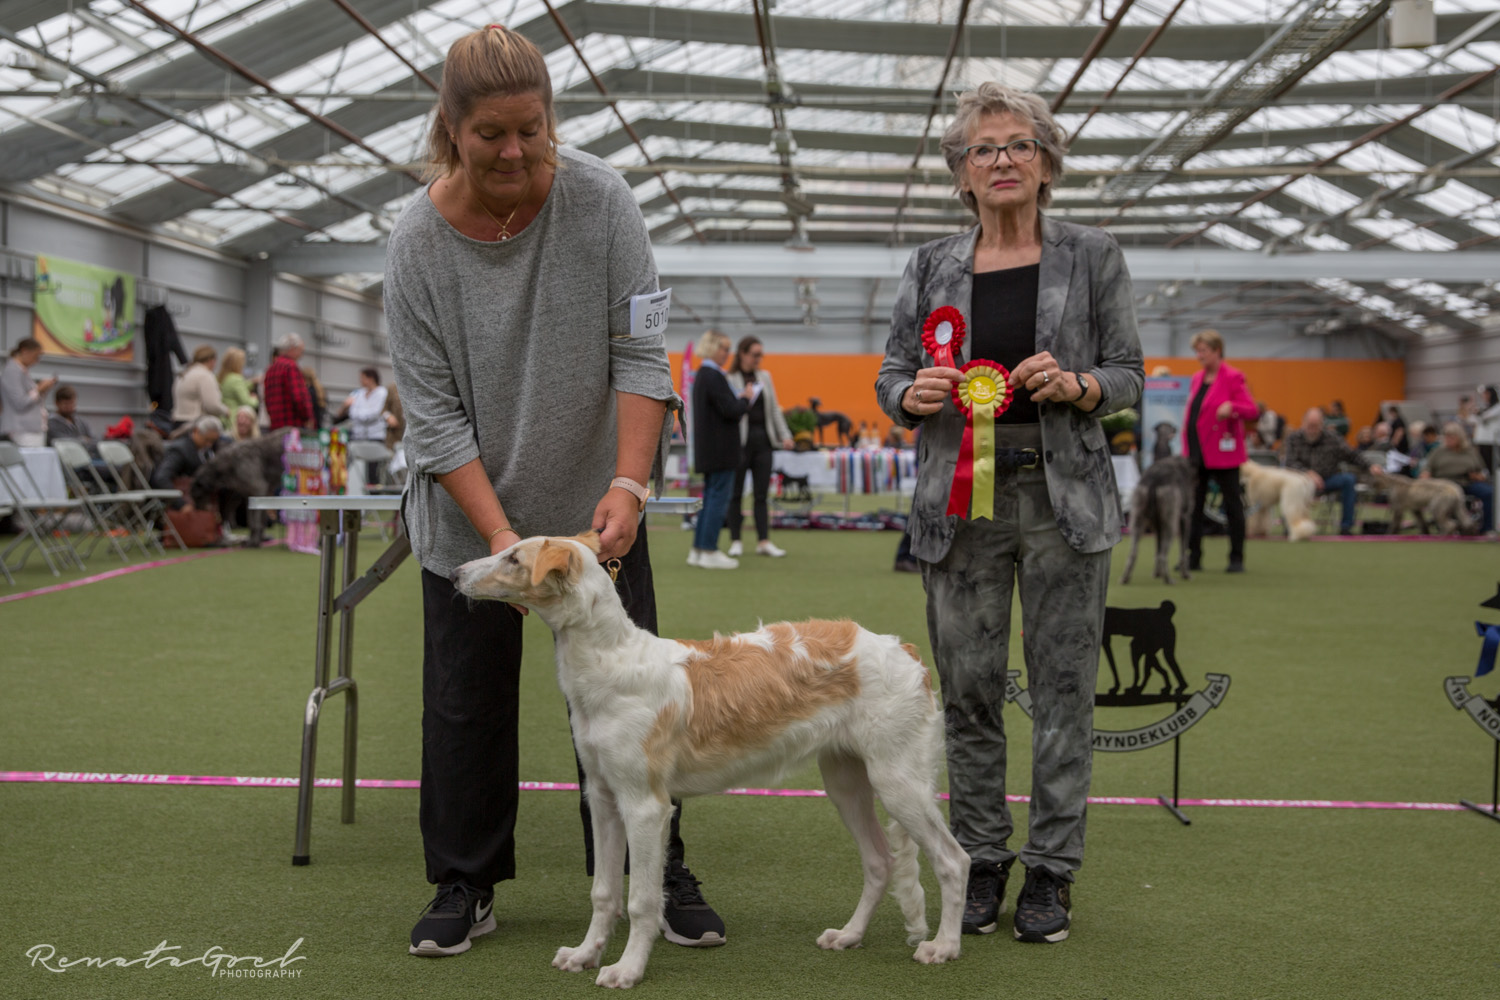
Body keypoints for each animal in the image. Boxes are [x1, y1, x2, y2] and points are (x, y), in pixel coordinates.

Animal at [453, 536, 972, 989]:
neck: (610, 662)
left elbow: (641, 900)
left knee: (954, 859)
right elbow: (603, 893)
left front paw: (627, 970)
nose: (455, 574)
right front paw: (584, 955)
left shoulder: (645, 806)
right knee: (881, 861)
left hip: (898, 782)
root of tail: (907, 651)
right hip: (847, 782)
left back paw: (944, 946)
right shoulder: (602, 796)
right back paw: (849, 935)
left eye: (514, 558)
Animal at [1128, 458, 1194, 590]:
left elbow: (1157, 551)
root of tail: (1154, 479)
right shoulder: (1185, 519)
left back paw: (1125, 579)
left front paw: (1156, 573)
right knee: (1164, 555)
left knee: (1133, 552)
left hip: (1137, 519)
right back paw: (1168, 579)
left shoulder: (1158, 527)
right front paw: (1185, 574)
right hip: (1170, 525)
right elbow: (1183, 551)